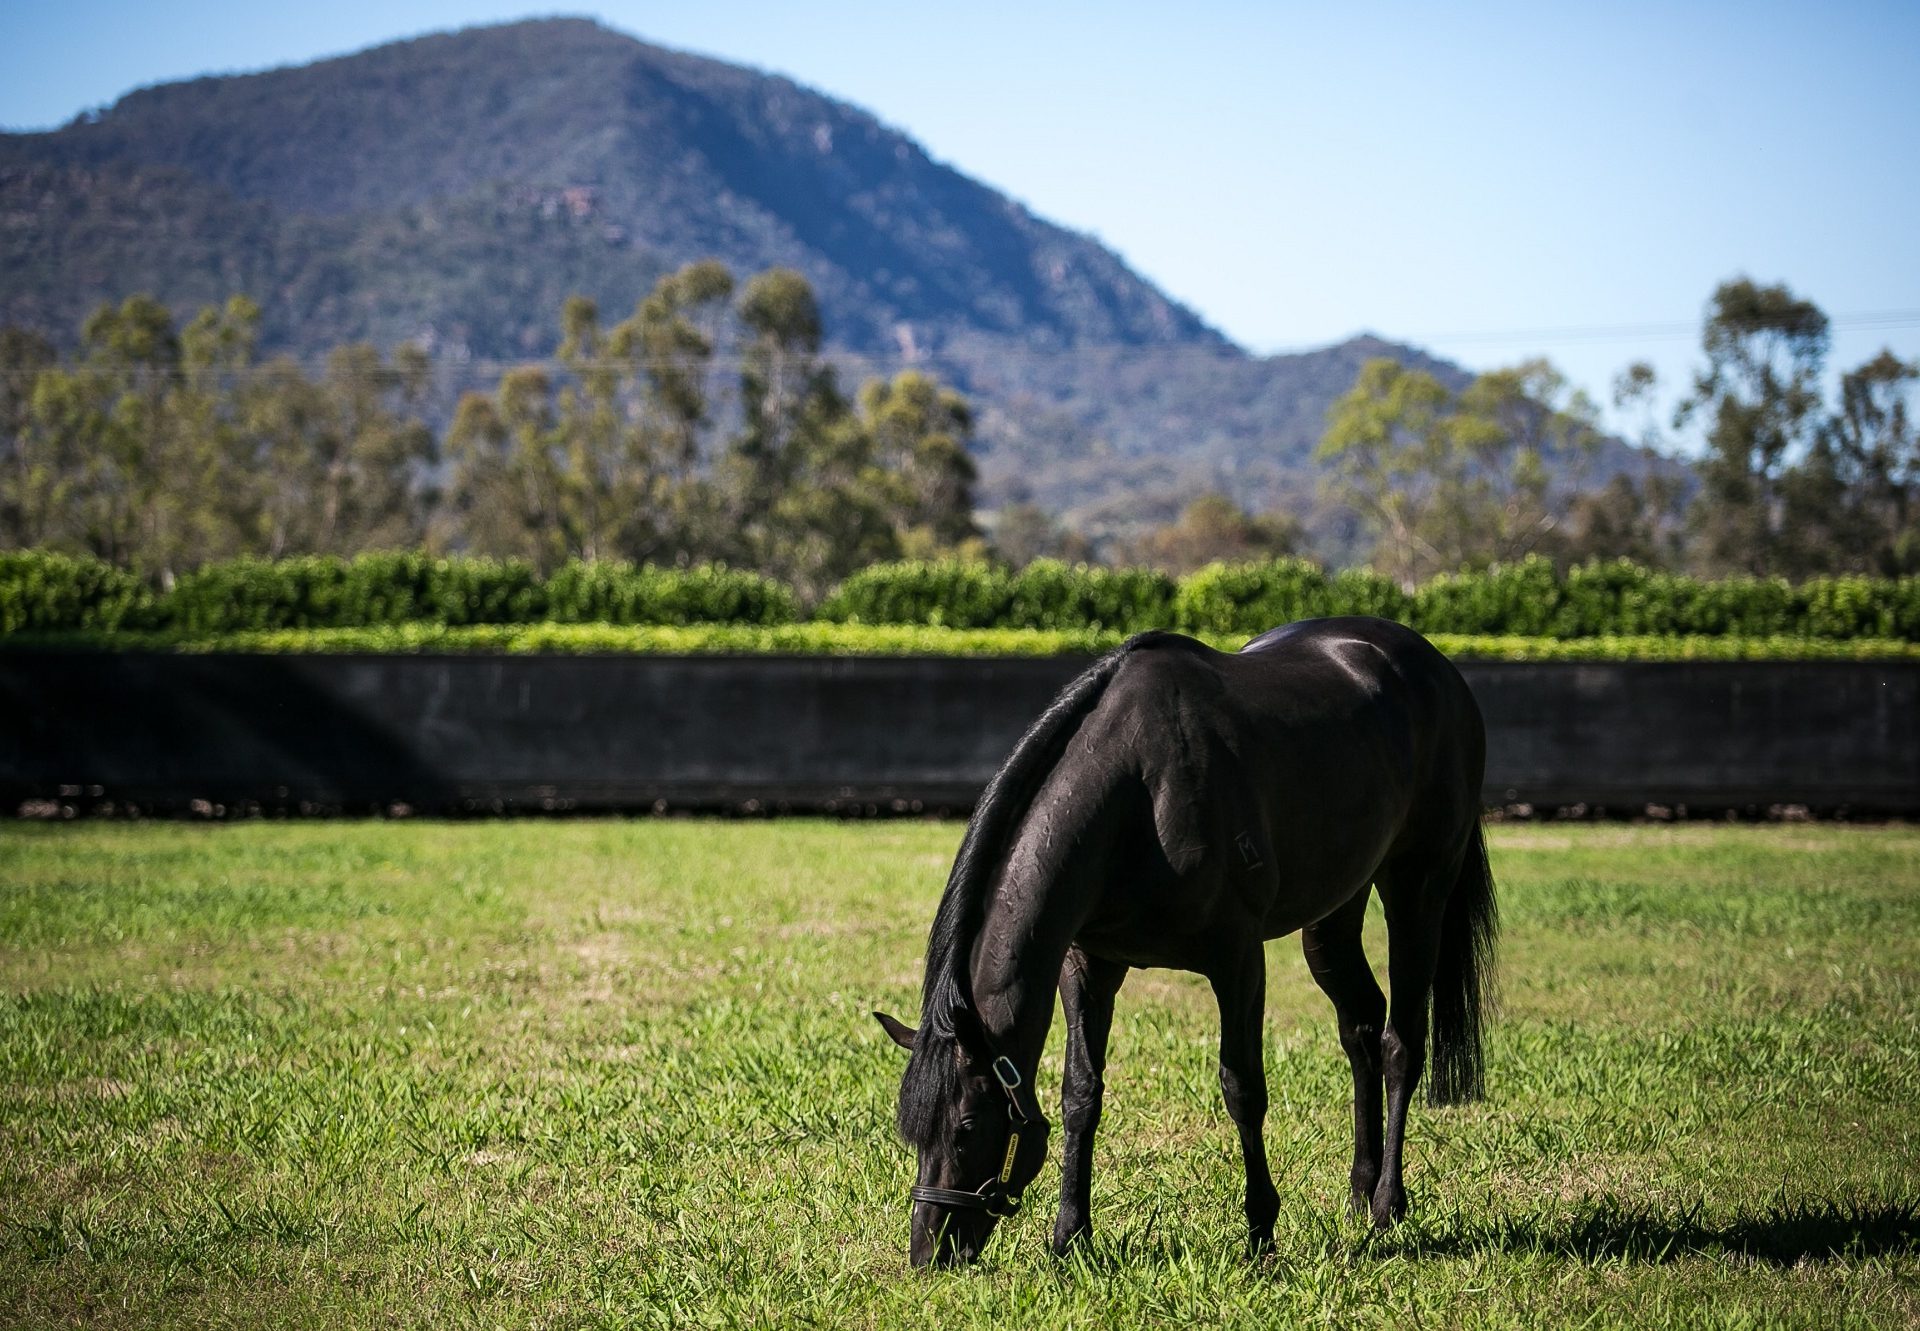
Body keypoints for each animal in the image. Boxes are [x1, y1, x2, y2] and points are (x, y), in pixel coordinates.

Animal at [875, 618, 1497, 1259]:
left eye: (967, 1127)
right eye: (912, 1132)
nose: (928, 1251)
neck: (1139, 797)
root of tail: (1436, 667)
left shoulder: (1239, 962)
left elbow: (1242, 1088)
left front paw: (1261, 1231)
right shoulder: (1088, 967)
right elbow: (1081, 1093)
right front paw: (1071, 1235)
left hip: (1418, 888)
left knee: (1402, 1043)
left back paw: (1387, 1203)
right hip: (1335, 909)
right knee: (1361, 1027)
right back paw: (1360, 1186)